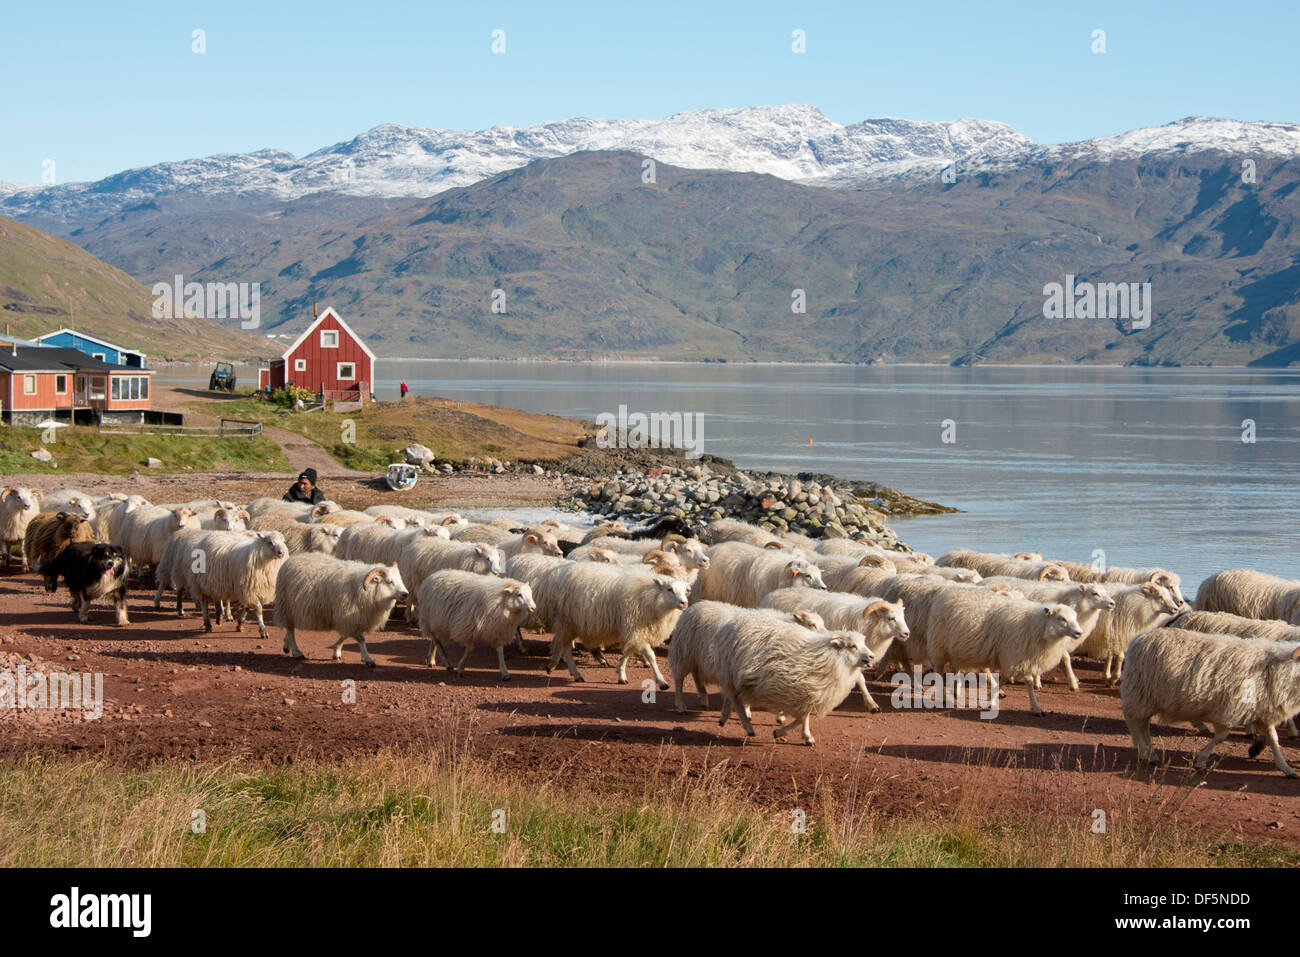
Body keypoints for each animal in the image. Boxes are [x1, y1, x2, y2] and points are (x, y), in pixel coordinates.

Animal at [543, 561, 696, 686]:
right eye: (670, 589)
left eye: (685, 589)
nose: (684, 603)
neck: (653, 598)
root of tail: (563, 573)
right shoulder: (635, 628)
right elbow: (651, 655)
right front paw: (661, 681)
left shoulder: (632, 630)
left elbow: (627, 652)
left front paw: (621, 673)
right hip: (567, 621)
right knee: (566, 647)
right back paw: (574, 673)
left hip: (574, 623)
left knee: (564, 643)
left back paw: (555, 665)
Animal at [1123, 629, 1300, 780]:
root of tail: (1138, 638)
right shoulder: (1229, 710)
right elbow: (1221, 738)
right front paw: (1200, 762)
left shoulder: (1263, 713)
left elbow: (1274, 739)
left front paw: (1286, 768)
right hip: (1140, 693)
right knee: (1134, 722)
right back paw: (1145, 753)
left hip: (1147, 697)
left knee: (1143, 725)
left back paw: (1149, 754)